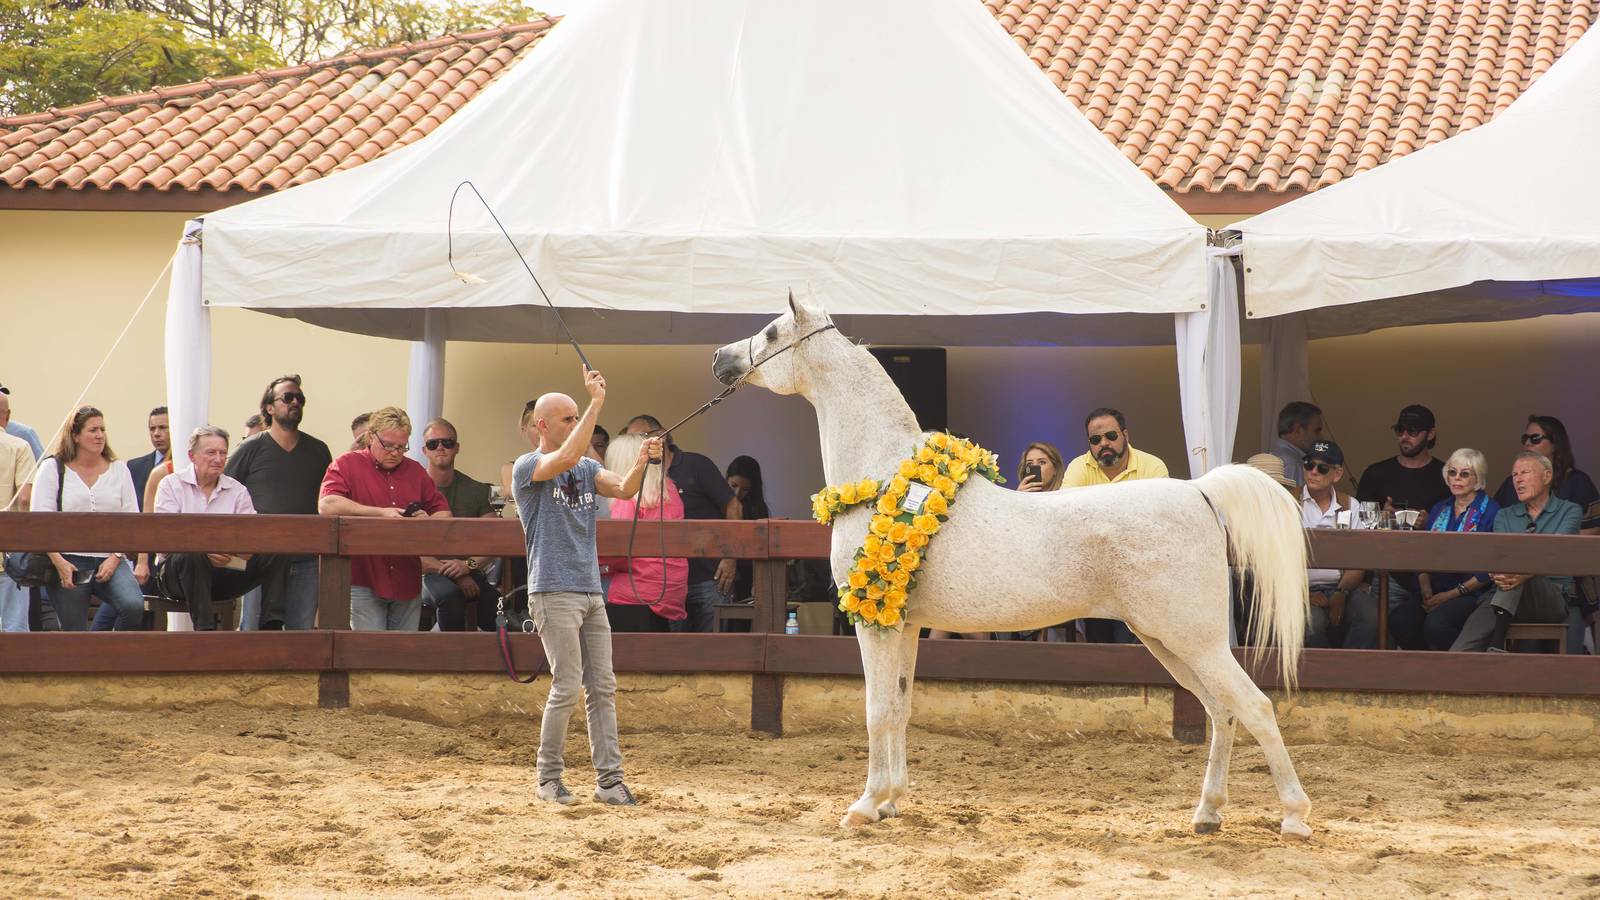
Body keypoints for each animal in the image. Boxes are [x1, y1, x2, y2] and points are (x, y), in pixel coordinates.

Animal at [712, 292, 1316, 840]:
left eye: (771, 332)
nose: (721, 358)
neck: (884, 477)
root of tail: (1199, 492)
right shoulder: (904, 625)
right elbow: (901, 708)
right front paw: (891, 803)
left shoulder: (874, 624)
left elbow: (877, 709)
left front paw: (865, 806)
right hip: (1168, 641)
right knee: (1222, 712)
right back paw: (1207, 814)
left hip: (1195, 640)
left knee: (1255, 706)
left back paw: (1294, 817)